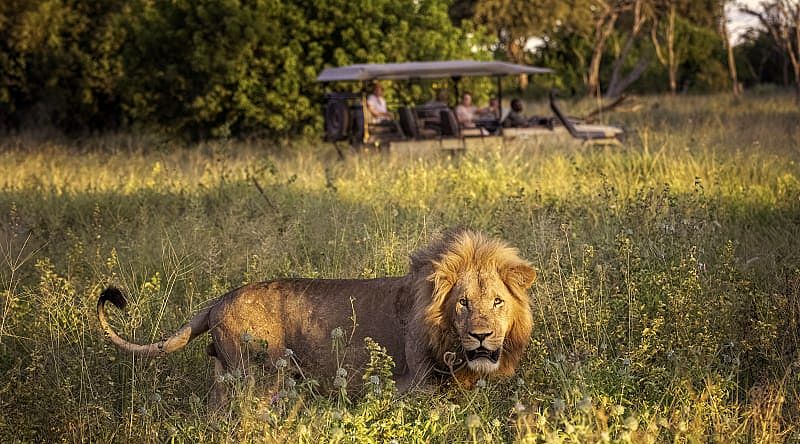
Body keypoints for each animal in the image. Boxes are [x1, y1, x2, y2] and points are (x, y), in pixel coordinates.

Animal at [98, 229, 536, 396]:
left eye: (497, 302)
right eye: (463, 303)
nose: (481, 335)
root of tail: (219, 299)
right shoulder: (415, 384)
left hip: (227, 374)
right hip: (258, 375)